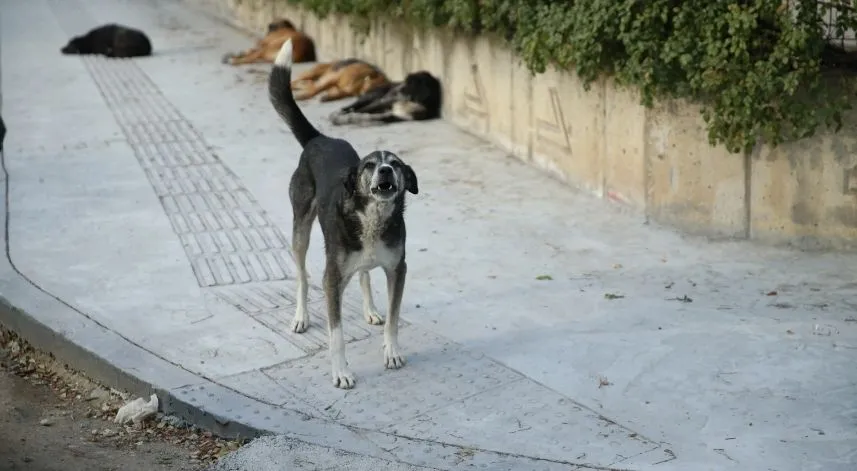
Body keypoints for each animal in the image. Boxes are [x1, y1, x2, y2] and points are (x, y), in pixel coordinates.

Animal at [266, 38, 416, 390]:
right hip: (301, 231)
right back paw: (301, 316)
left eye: (396, 164)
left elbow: (393, 319)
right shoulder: (332, 279)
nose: (386, 170)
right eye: (370, 165)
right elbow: (337, 335)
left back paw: (370, 309)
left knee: (363, 274)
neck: (373, 218)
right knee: (302, 277)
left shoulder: (398, 270)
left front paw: (391, 351)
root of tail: (320, 138)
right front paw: (342, 373)